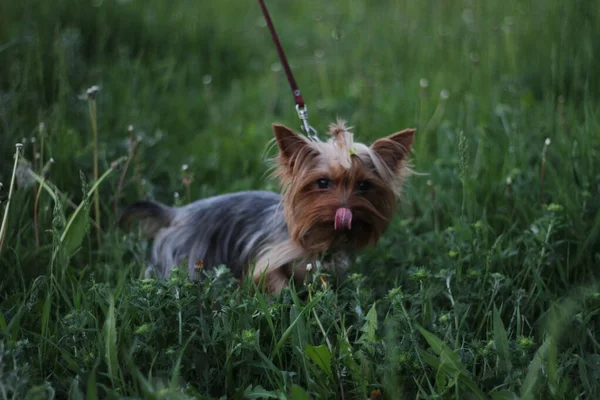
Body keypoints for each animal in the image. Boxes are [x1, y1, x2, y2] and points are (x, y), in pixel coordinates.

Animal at [119, 120, 414, 292]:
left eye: (364, 185)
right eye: (322, 182)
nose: (346, 211)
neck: (321, 236)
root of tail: (176, 212)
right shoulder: (269, 258)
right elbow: (273, 280)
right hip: (184, 261)